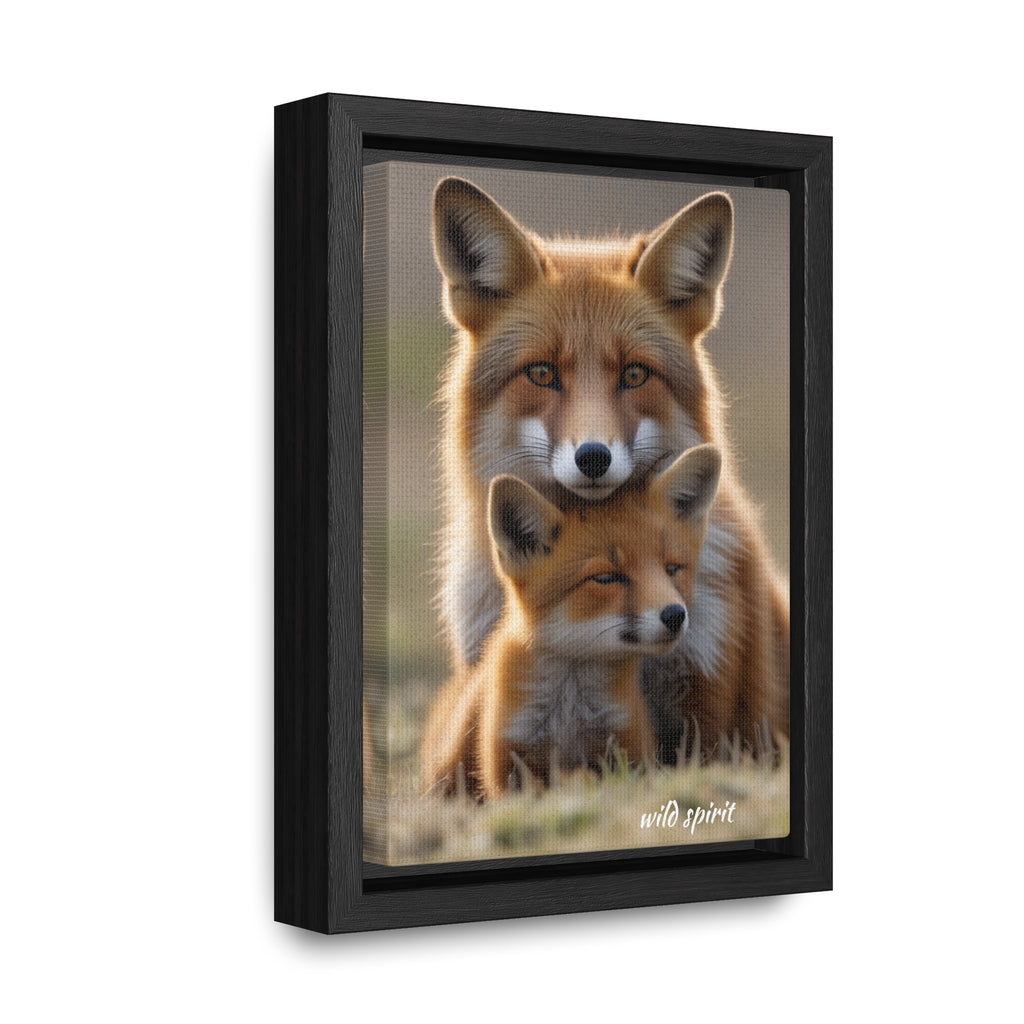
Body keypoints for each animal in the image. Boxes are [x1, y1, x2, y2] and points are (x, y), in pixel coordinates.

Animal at [421, 445, 722, 800]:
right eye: (606, 578)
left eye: (672, 569)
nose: (675, 615)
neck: (569, 714)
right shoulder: (508, 761)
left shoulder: (627, 748)